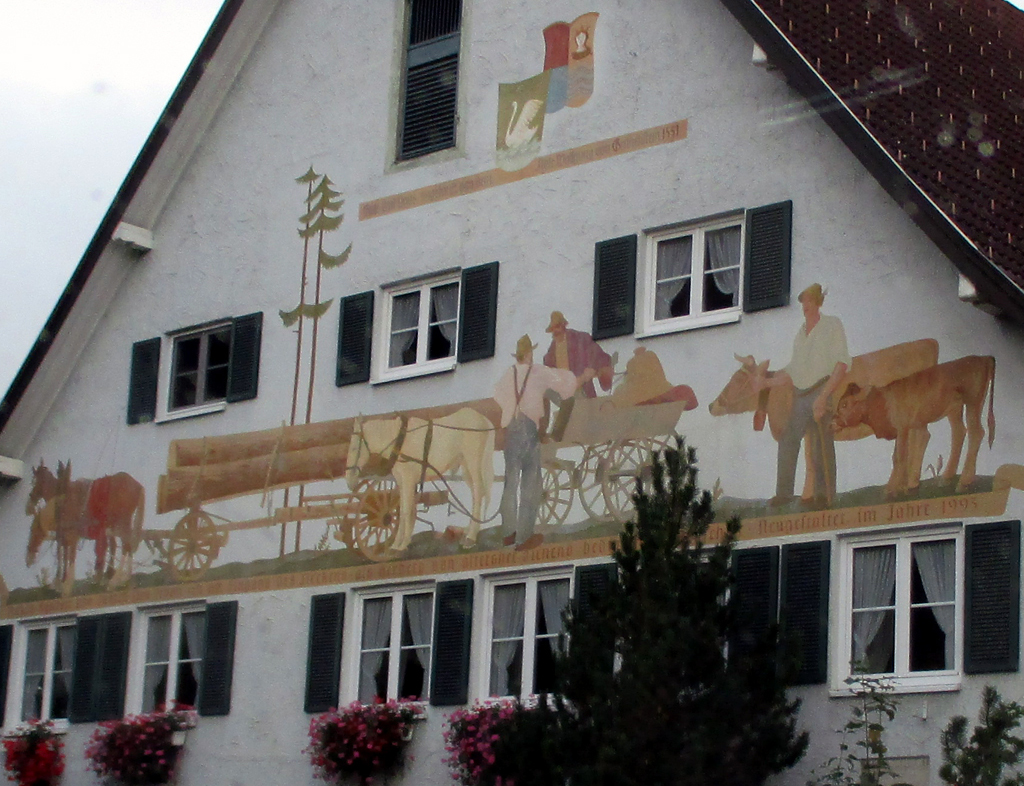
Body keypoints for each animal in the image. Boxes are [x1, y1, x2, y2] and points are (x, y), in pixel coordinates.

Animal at [346, 408, 495, 551]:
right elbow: (403, 510)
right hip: (465, 467)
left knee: (478, 492)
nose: (349, 481)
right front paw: (397, 544)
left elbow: (406, 511)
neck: (399, 440)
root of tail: (483, 419)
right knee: (477, 495)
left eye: (354, 448)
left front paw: (402, 545)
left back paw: (471, 538)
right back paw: (468, 532)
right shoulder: (402, 481)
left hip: (473, 462)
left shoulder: (408, 479)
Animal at [833, 355, 996, 497]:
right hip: (956, 409)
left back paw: (964, 482)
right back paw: (947, 478)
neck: (883, 401)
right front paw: (910, 485)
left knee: (976, 432)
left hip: (973, 402)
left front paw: (892, 489)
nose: (833, 421)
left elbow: (900, 456)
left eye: (844, 404)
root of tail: (983, 357)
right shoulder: (917, 425)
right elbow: (917, 447)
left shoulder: (902, 428)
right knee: (959, 432)